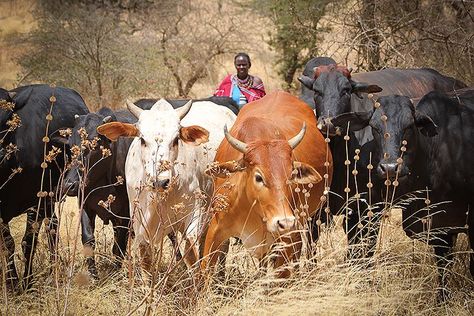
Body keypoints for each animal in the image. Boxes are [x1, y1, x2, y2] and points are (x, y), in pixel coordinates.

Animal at [0, 83, 88, 288]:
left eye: (6, 119)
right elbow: (7, 244)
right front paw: (11, 283)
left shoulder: (37, 203)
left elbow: (28, 242)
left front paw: (27, 282)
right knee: (53, 225)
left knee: (51, 229)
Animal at [97, 100, 236, 270]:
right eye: (142, 140)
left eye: (176, 139)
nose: (160, 182)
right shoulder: (140, 225)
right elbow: (146, 260)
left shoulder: (194, 216)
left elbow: (192, 256)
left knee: (221, 247)